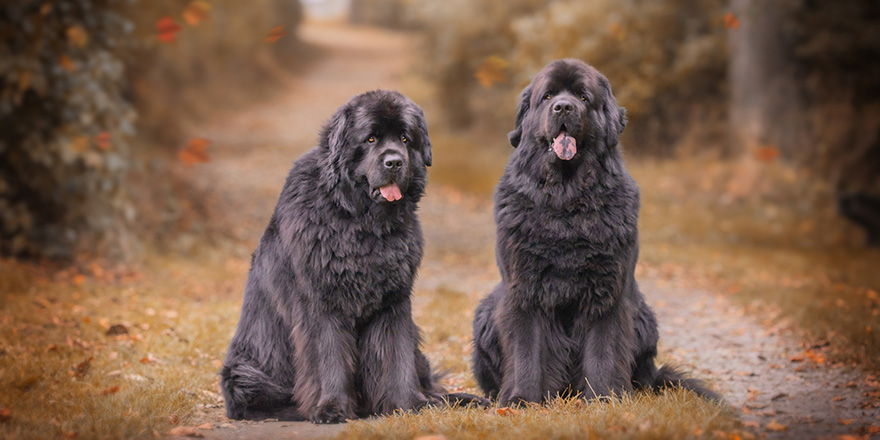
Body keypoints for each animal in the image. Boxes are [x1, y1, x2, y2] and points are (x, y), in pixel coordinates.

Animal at [219, 89, 482, 422]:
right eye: (370, 139)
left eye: (405, 138)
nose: (394, 162)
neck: (360, 222)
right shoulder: (321, 302)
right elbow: (329, 357)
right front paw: (331, 408)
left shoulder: (394, 302)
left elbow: (395, 356)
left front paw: (409, 404)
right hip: (244, 372)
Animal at [470, 59, 720, 406]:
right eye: (547, 96)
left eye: (583, 98)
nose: (563, 107)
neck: (566, 200)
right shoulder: (524, 288)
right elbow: (526, 347)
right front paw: (522, 398)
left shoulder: (607, 290)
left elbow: (604, 348)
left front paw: (604, 398)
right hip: (484, 313)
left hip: (644, 318)